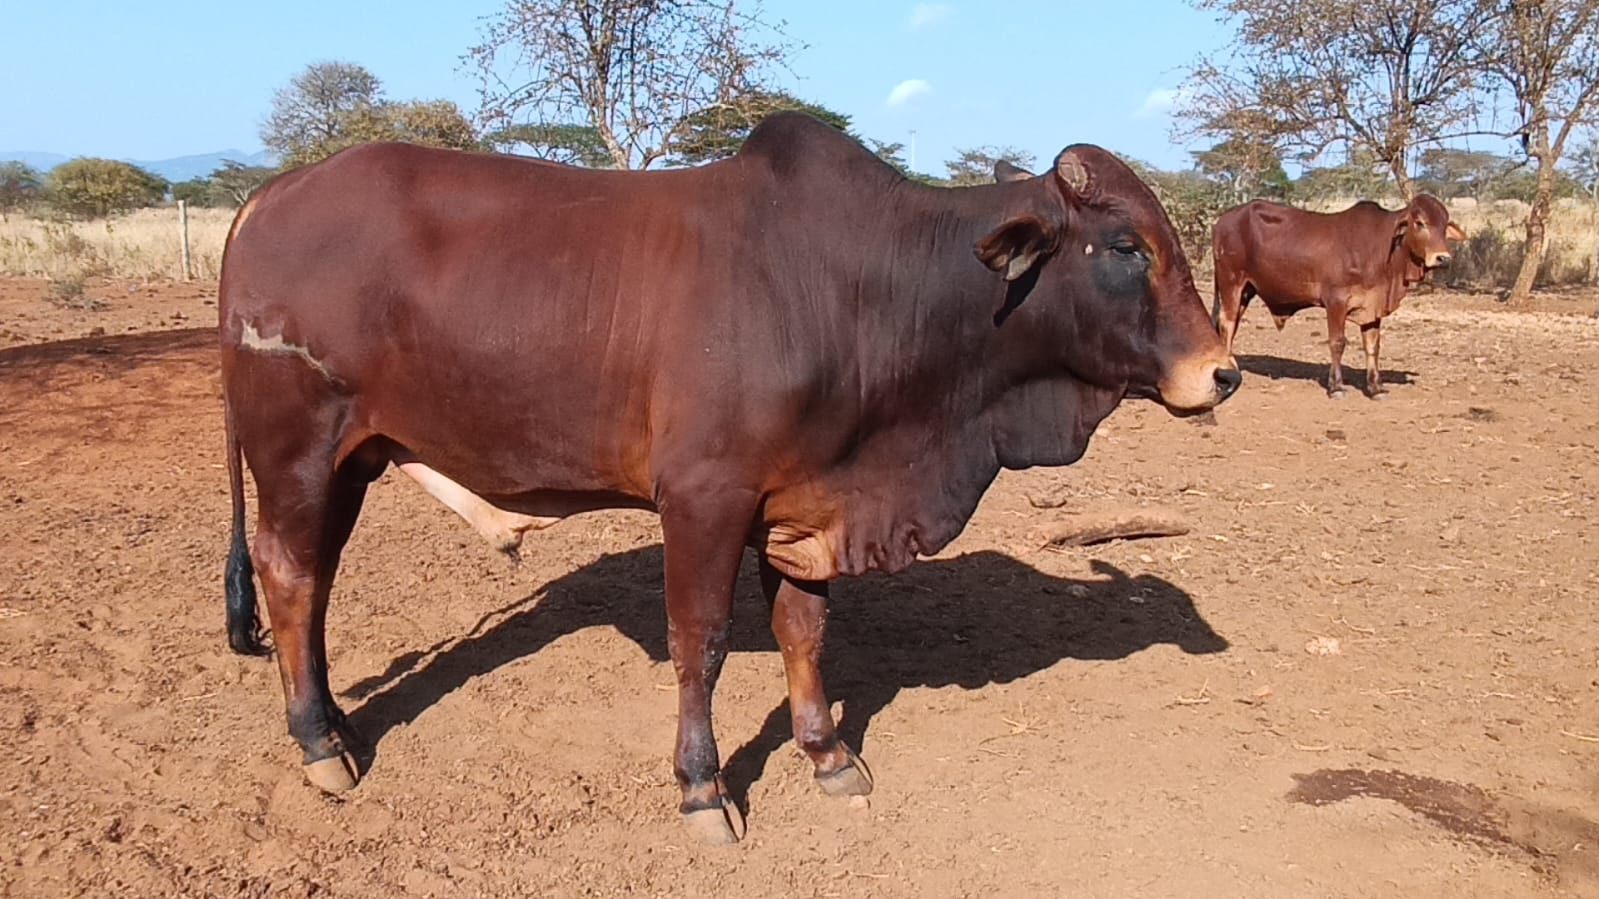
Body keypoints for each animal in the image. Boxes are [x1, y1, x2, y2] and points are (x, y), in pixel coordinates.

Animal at [218, 112, 1241, 846]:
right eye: (1125, 246)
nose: (1222, 373)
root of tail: (269, 194)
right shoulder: (703, 499)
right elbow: (700, 643)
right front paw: (702, 788)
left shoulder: (803, 505)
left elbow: (804, 629)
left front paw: (826, 753)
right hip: (297, 447)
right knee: (290, 574)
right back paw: (319, 746)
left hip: (350, 459)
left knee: (313, 581)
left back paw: (339, 725)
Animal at [1210, 195, 1466, 398]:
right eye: (1420, 223)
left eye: (1445, 225)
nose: (1443, 258)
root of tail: (1221, 221)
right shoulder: (1336, 301)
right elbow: (1337, 343)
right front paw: (1336, 387)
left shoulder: (1372, 307)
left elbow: (1372, 346)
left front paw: (1375, 388)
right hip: (1231, 282)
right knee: (1227, 324)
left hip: (1246, 290)